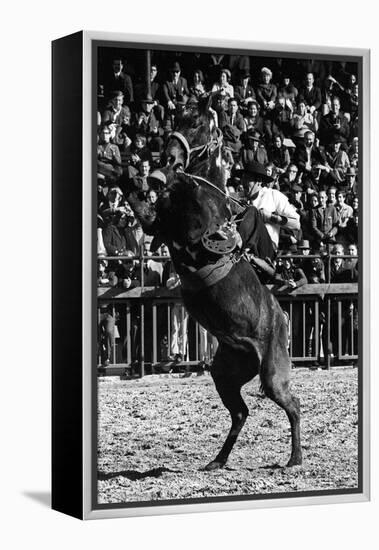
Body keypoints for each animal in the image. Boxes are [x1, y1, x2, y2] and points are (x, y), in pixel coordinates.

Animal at [127, 101, 302, 472]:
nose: (169, 157)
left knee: (291, 404)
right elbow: (142, 208)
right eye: (178, 118)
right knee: (240, 413)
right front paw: (141, 178)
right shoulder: (155, 225)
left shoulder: (198, 238)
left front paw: (164, 175)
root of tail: (280, 315)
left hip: (273, 372)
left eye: (197, 122)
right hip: (225, 372)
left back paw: (294, 459)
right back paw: (217, 461)